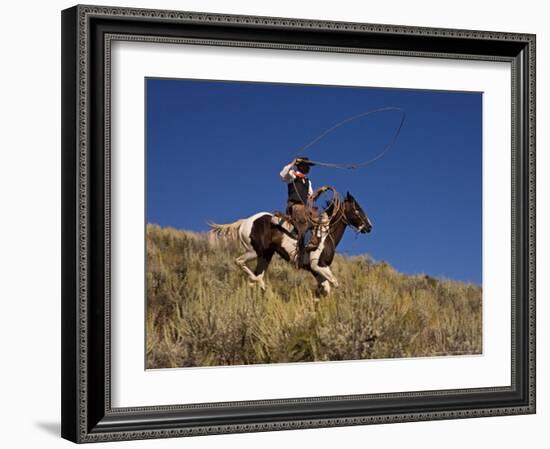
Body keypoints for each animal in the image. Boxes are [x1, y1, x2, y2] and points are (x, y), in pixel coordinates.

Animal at [209, 192, 374, 300]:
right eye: (357, 209)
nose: (369, 226)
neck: (326, 233)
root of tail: (245, 221)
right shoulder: (318, 266)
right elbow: (334, 283)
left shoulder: (316, 270)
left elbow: (325, 289)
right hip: (254, 251)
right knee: (240, 263)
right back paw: (260, 284)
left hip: (265, 256)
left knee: (256, 276)